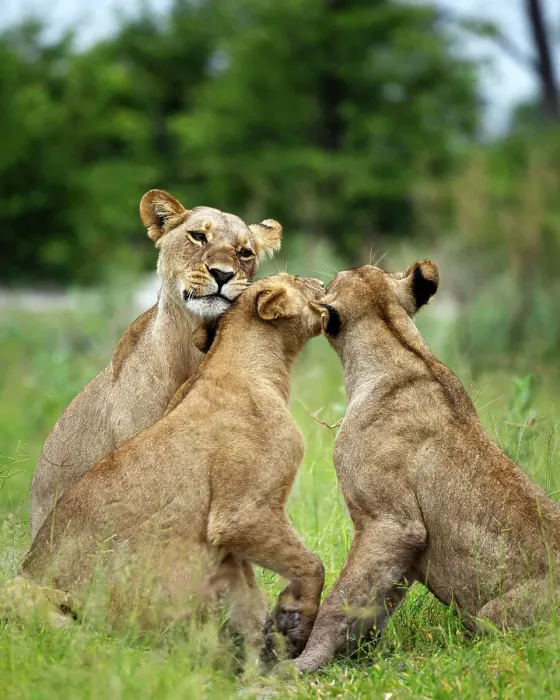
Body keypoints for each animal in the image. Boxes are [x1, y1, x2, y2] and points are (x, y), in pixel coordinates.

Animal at [22, 274, 326, 658]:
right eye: (299, 280)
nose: (322, 282)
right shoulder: (242, 514)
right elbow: (312, 565)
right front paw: (294, 626)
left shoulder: (226, 547)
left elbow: (247, 596)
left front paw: (263, 652)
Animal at [293, 260, 560, 673]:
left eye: (332, 281)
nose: (318, 281)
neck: (403, 350)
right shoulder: (404, 551)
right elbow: (372, 605)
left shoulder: (391, 523)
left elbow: (340, 600)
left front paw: (303, 663)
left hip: (494, 616)